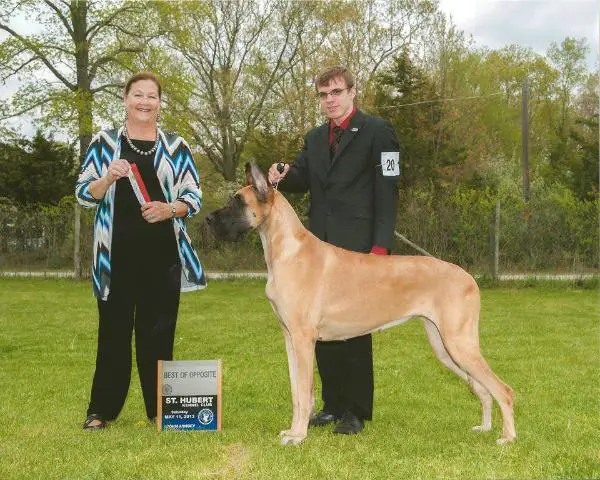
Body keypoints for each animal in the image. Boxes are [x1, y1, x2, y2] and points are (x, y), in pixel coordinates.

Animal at [206, 163, 516, 444]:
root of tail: (469, 278)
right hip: (444, 347)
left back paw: (507, 437)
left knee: (503, 389)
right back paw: (485, 428)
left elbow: (304, 393)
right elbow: (296, 392)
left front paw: (298, 436)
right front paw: (293, 430)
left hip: (459, 344)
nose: (208, 219)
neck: (286, 249)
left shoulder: (303, 339)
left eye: (237, 201)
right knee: (483, 389)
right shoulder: (290, 339)